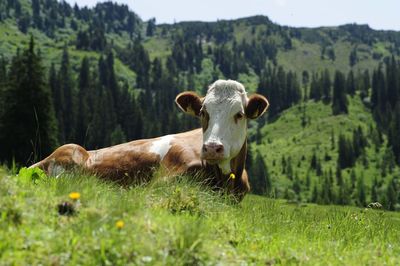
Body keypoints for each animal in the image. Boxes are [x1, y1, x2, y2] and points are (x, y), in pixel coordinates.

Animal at [28, 80, 268, 201]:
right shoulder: (163, 181)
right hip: (70, 151)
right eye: (203, 112)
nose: (211, 148)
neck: (223, 180)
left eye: (239, 114)